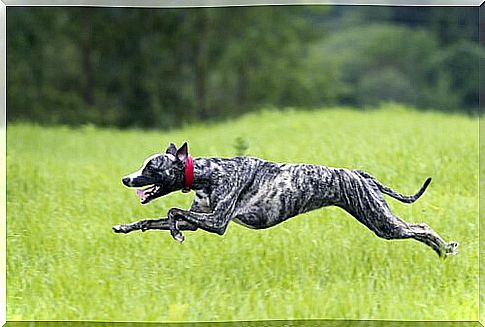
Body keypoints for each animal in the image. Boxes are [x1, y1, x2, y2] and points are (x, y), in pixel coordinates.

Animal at [112, 142, 458, 258]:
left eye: (150, 167)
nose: (126, 179)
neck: (206, 173)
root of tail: (360, 174)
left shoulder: (217, 222)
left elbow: (173, 211)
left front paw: (176, 233)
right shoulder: (201, 220)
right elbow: (154, 219)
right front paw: (125, 227)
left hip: (380, 221)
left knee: (422, 227)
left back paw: (445, 248)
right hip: (379, 218)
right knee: (417, 230)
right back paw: (441, 253)